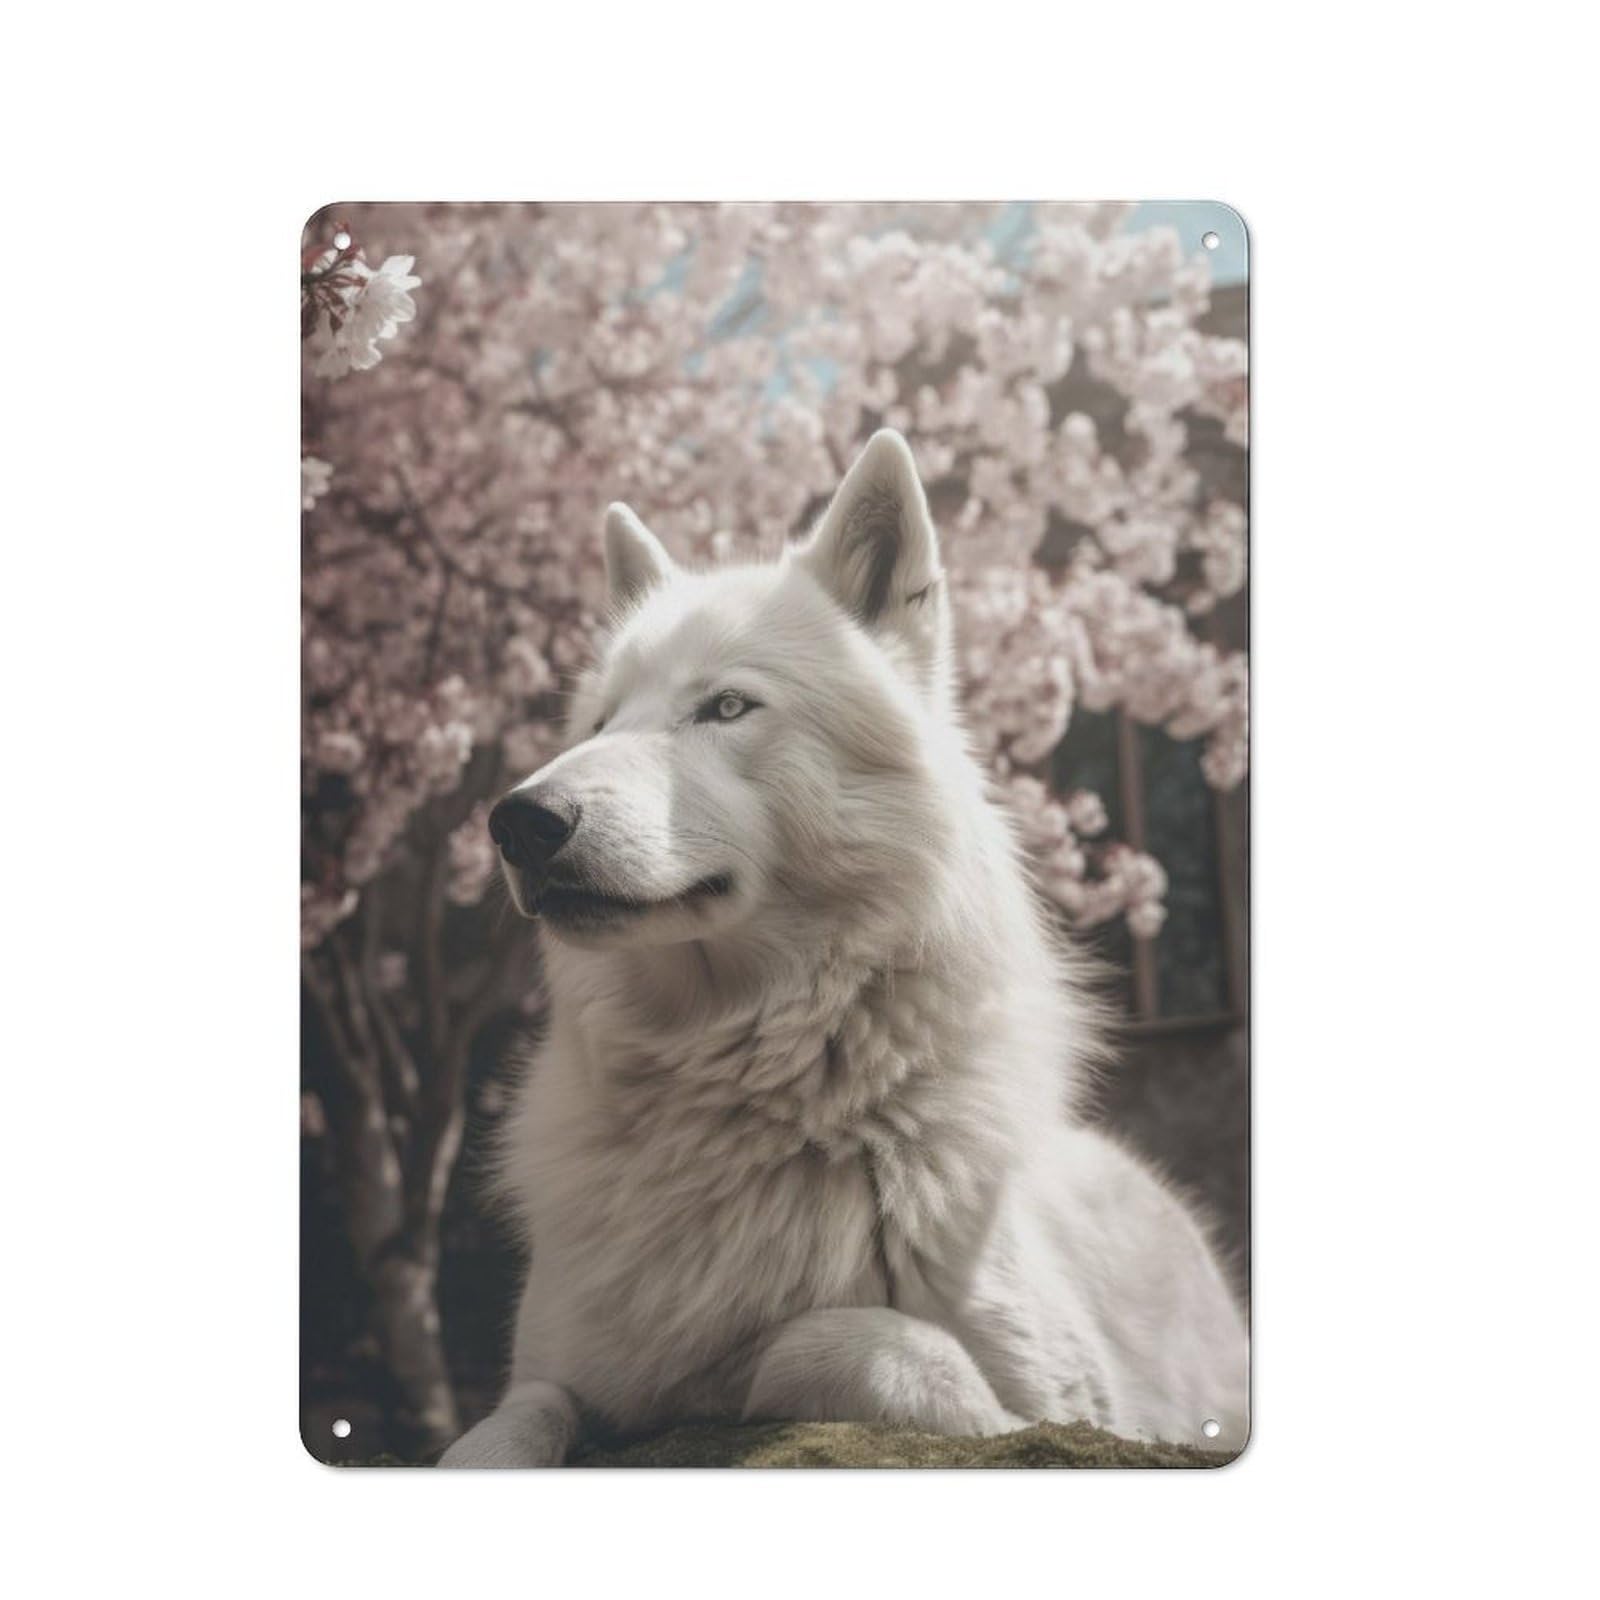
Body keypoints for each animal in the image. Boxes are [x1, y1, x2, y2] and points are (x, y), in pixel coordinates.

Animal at [439, 430, 1248, 1467]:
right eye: (599, 724)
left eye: (726, 708)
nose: (518, 823)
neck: (748, 1099)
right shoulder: (544, 1371)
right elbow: (505, 1425)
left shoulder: (1065, 1418)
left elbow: (836, 1340)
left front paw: (729, 1375)